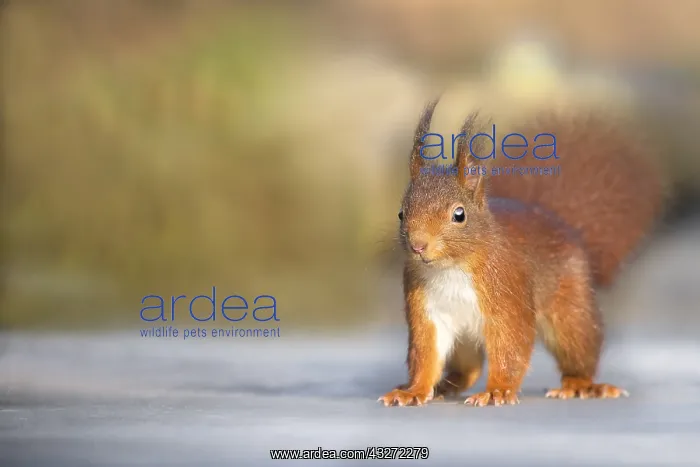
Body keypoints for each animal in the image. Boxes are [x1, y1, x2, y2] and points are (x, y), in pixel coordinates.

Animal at [379, 97, 665, 407]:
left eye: (459, 214)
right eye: (401, 213)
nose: (418, 245)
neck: (451, 268)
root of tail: (560, 223)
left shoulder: (507, 294)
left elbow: (511, 345)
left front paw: (497, 391)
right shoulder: (426, 310)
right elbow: (425, 354)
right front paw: (413, 391)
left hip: (570, 310)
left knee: (579, 347)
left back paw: (582, 384)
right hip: (465, 339)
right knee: (468, 368)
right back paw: (445, 386)